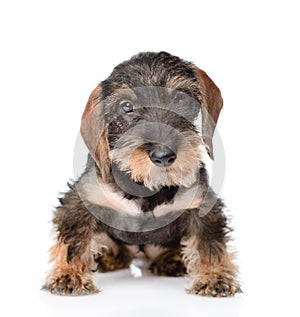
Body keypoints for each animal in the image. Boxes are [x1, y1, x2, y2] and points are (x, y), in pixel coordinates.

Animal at [42, 50, 240, 296]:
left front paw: (215, 276)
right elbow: (73, 240)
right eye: (126, 106)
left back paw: (172, 260)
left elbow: (209, 242)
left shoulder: (202, 205)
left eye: (180, 99)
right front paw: (69, 274)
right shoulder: (82, 200)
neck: (147, 187)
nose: (163, 155)